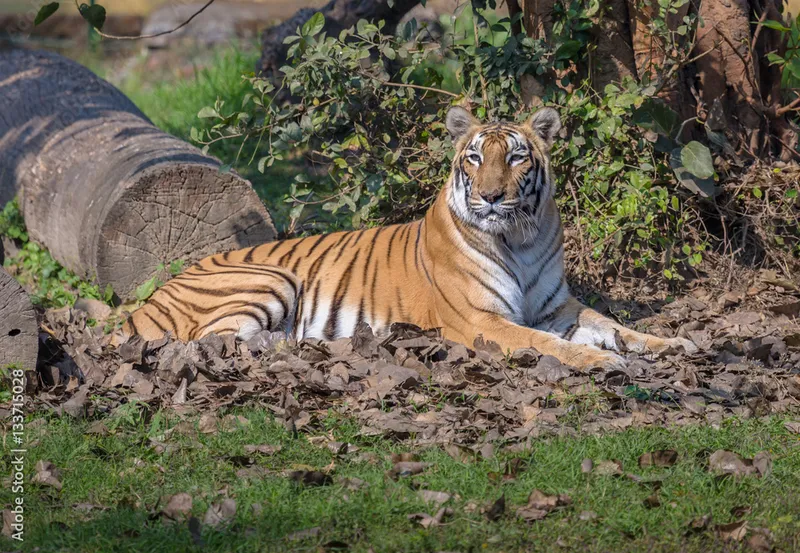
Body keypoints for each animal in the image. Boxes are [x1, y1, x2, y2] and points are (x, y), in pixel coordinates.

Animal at [122, 105, 696, 368]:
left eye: (516, 157)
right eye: (474, 157)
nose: (491, 196)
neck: (521, 238)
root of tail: (145, 302)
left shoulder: (560, 309)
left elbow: (617, 326)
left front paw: (675, 343)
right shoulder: (482, 321)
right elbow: (547, 344)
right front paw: (603, 362)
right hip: (269, 278)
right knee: (216, 341)